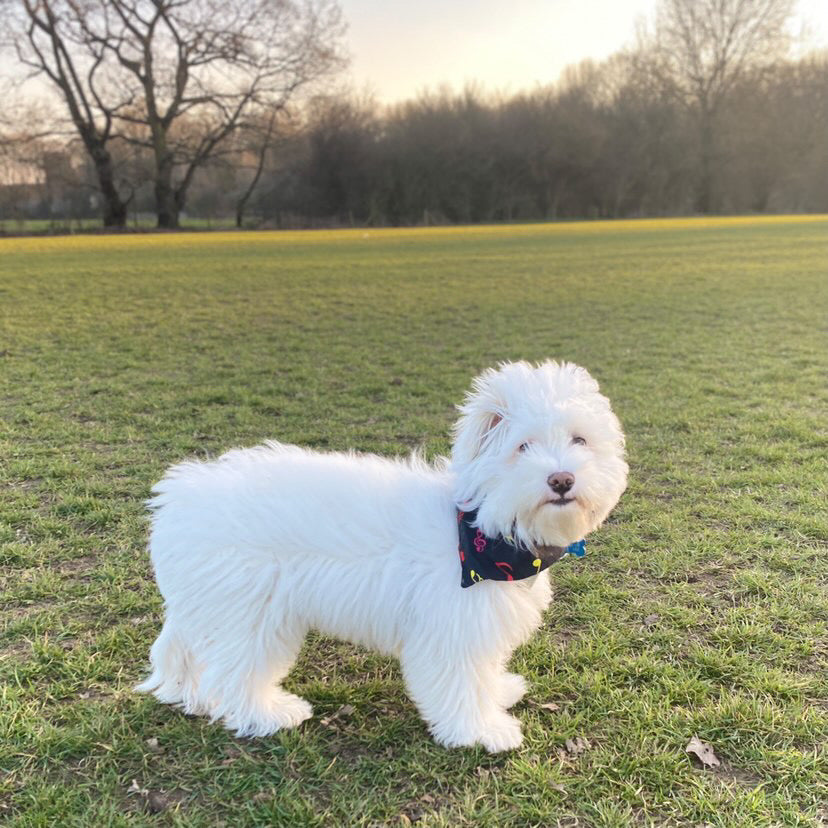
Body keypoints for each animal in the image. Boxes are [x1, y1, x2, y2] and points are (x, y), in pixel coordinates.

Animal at [137, 360, 628, 752]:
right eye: (522, 447)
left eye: (580, 440)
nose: (561, 479)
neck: (483, 531)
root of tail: (179, 497)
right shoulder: (450, 627)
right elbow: (459, 683)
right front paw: (481, 730)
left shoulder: (481, 622)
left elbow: (484, 671)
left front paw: (498, 691)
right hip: (251, 614)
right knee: (236, 673)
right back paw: (267, 713)